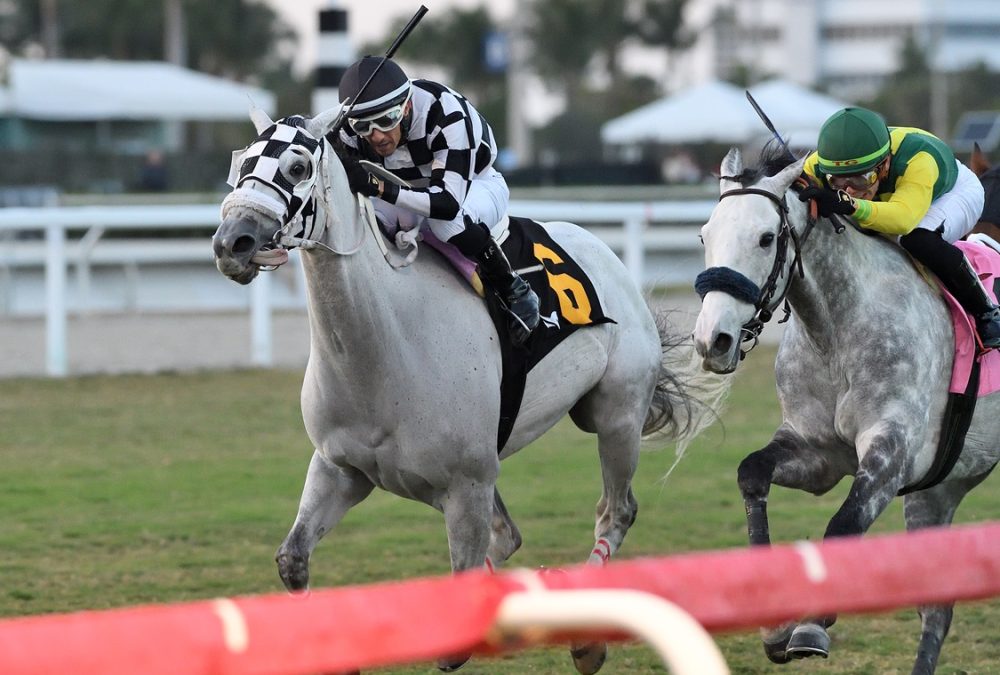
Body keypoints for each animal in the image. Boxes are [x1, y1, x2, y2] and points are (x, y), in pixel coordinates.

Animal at [209, 108, 720, 672]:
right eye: (240, 161)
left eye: (297, 166)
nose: (232, 243)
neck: (385, 349)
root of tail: (606, 255)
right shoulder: (341, 467)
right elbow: (293, 560)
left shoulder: (466, 484)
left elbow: (454, 646)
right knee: (509, 535)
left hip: (616, 417)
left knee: (616, 510)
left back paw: (585, 636)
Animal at [692, 148, 1000, 675]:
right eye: (705, 236)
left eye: (766, 237)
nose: (713, 340)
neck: (836, 330)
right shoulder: (818, 453)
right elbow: (752, 472)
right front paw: (774, 626)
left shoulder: (893, 452)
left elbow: (843, 526)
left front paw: (812, 625)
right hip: (940, 489)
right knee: (937, 607)